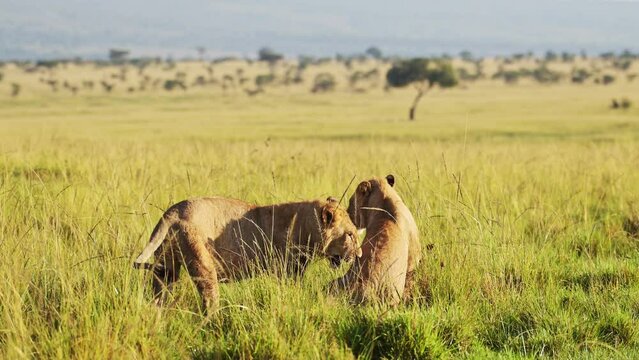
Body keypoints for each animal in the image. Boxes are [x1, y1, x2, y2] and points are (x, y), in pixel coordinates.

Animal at [132, 197, 362, 312]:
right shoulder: (287, 270)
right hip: (203, 264)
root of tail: (173, 212)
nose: (358, 255)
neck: (305, 224)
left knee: (160, 291)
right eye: (350, 235)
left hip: (166, 267)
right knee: (209, 299)